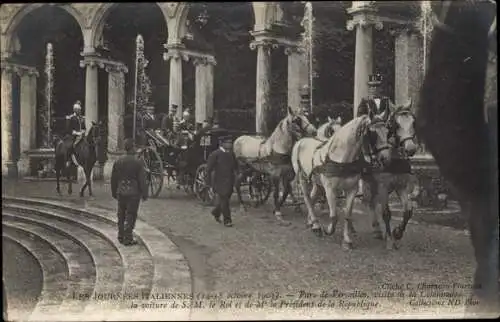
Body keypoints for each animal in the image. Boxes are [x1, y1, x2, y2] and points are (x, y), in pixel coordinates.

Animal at [292, 112, 392, 250]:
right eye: (373, 134)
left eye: (388, 131)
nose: (386, 159)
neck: (341, 158)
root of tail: (301, 141)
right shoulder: (330, 189)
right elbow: (334, 216)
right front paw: (329, 229)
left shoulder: (352, 189)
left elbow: (347, 215)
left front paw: (347, 240)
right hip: (303, 178)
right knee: (307, 199)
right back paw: (316, 225)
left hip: (317, 183)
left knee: (312, 199)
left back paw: (312, 222)